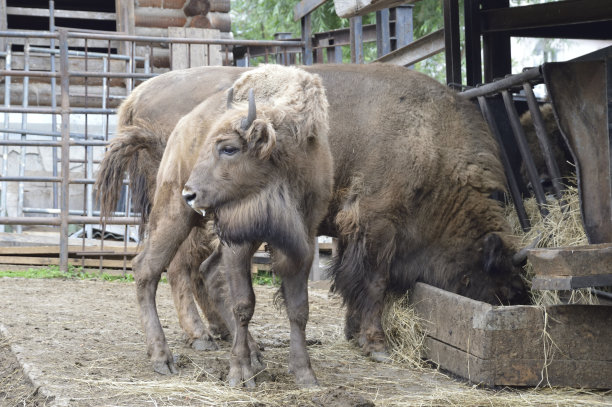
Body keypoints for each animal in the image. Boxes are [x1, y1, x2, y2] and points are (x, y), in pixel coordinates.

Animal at [95, 63, 524, 380]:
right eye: (497, 275)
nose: (513, 302)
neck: (431, 140)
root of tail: (136, 98)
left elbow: (349, 282)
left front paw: (353, 335)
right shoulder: (378, 221)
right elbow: (374, 282)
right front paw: (377, 345)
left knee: (196, 269)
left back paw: (237, 344)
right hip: (179, 208)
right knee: (168, 267)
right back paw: (183, 347)